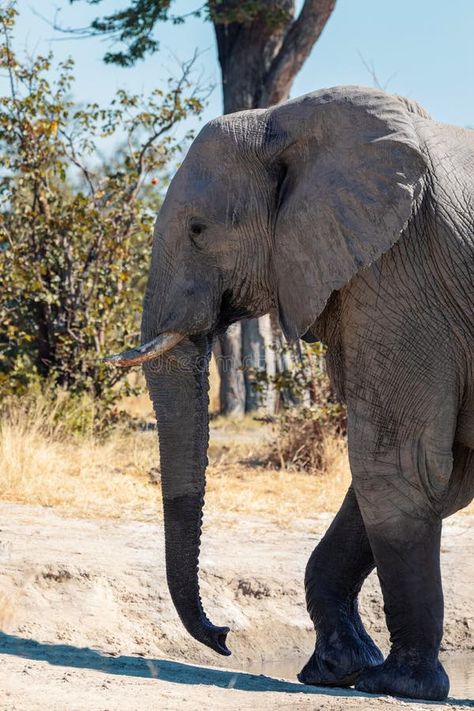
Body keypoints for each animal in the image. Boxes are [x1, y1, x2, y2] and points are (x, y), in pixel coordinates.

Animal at [107, 86, 474, 704]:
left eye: (198, 230)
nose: (224, 637)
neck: (285, 121)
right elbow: (439, 477)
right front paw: (337, 670)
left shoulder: (402, 265)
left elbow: (397, 464)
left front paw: (399, 684)